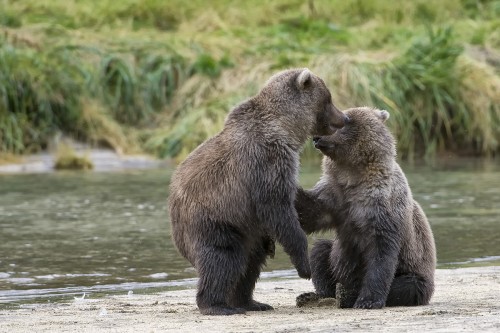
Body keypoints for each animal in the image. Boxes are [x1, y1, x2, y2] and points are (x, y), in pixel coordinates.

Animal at [168, 67, 348, 314]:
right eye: (328, 99)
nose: (344, 118)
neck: (285, 129)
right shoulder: (267, 160)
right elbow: (277, 207)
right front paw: (304, 265)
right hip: (213, 220)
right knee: (222, 257)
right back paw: (217, 305)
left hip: (246, 231)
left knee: (250, 263)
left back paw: (252, 302)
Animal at [294, 106, 436, 308]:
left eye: (343, 120)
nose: (316, 137)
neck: (352, 176)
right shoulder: (335, 197)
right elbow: (310, 213)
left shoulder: (381, 207)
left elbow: (381, 254)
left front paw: (367, 300)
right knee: (320, 252)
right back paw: (314, 296)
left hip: (418, 273)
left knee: (407, 286)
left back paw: (344, 294)